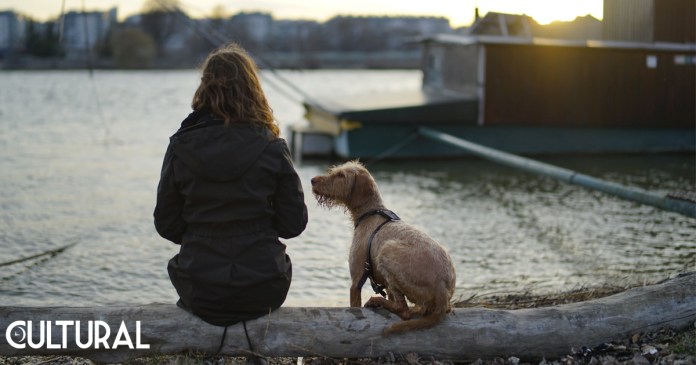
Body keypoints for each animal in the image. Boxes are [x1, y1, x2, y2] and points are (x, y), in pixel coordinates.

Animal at [312, 160, 456, 332]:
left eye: (341, 175)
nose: (312, 180)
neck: (371, 213)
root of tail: (442, 290)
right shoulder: (384, 286)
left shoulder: (356, 281)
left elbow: (355, 306)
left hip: (387, 251)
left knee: (404, 311)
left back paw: (377, 301)